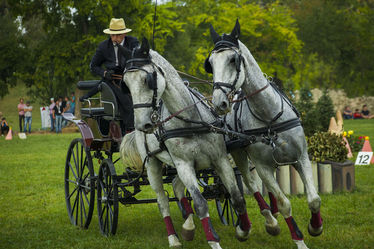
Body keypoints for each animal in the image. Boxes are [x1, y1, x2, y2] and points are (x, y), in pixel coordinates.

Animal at [118, 39, 250, 249]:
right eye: (126, 84)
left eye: (147, 80)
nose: (143, 124)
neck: (191, 121)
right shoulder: (184, 164)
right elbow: (200, 203)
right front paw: (213, 240)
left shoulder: (220, 160)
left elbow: (237, 196)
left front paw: (243, 230)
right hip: (153, 165)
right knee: (162, 200)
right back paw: (174, 238)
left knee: (176, 185)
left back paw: (188, 226)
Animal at [206, 20, 322, 249]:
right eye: (211, 63)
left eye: (233, 59)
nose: (219, 103)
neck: (269, 117)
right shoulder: (262, 165)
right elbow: (284, 203)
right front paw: (298, 239)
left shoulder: (301, 157)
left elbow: (314, 199)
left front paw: (315, 226)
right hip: (239, 153)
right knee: (251, 185)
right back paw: (262, 223)